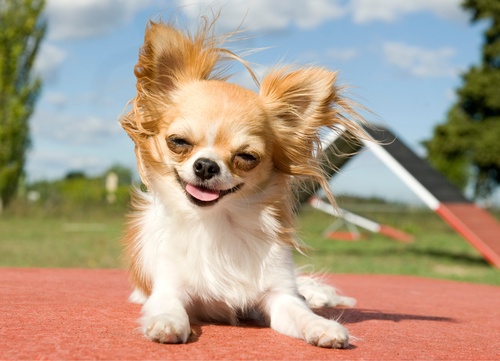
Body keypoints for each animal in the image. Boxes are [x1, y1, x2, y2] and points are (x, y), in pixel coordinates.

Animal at [119, 17, 366, 348]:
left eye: (247, 157)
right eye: (178, 142)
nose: (206, 165)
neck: (218, 223)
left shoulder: (280, 296)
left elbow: (300, 312)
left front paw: (322, 326)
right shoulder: (169, 287)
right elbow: (168, 305)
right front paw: (167, 322)